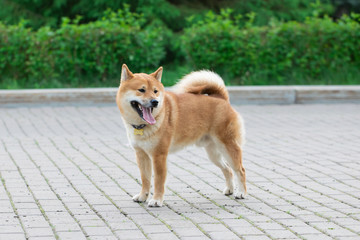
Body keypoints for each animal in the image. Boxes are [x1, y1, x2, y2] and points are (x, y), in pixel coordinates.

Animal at [116, 64, 246, 207]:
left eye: (155, 91)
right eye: (141, 90)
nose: (155, 101)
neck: (143, 125)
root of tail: (221, 98)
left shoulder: (159, 156)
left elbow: (158, 181)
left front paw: (156, 200)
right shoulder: (141, 155)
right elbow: (145, 179)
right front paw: (142, 196)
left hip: (228, 147)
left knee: (240, 170)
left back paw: (241, 193)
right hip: (213, 154)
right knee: (228, 169)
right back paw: (229, 189)